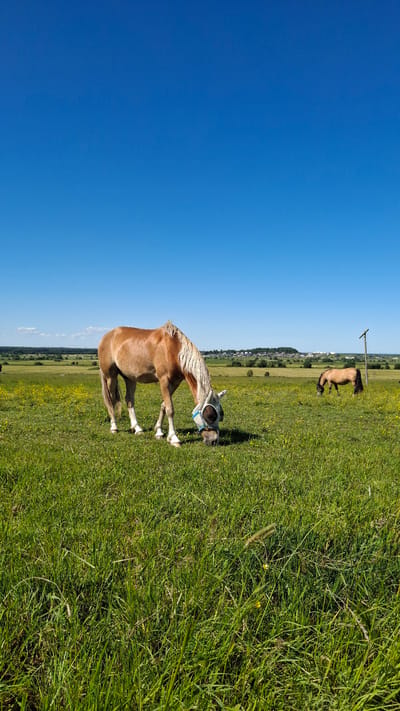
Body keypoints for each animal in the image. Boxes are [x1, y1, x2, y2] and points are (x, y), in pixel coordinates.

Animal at [98, 321, 226, 447]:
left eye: (221, 414)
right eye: (210, 415)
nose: (214, 441)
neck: (173, 349)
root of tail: (107, 336)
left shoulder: (175, 382)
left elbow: (164, 405)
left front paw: (159, 432)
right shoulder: (164, 381)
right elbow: (170, 409)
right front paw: (174, 438)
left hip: (130, 378)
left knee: (129, 400)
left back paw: (137, 428)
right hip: (110, 377)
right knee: (111, 399)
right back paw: (114, 427)